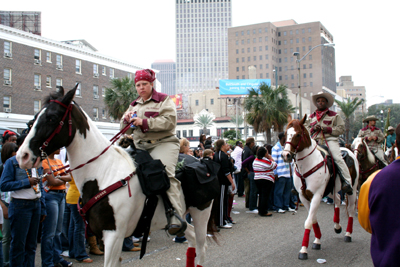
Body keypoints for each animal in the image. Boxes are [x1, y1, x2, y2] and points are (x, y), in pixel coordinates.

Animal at [18, 86, 212, 267]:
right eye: (34, 118)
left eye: (52, 117)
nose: (22, 156)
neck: (104, 173)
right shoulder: (106, 237)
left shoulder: (113, 235)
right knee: (192, 240)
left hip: (201, 213)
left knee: (201, 246)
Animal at [282, 116, 360, 260]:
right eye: (285, 134)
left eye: (298, 134)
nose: (286, 155)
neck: (307, 165)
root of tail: (349, 151)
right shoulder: (304, 196)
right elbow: (312, 219)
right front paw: (317, 241)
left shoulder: (317, 195)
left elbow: (308, 221)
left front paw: (303, 250)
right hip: (329, 190)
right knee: (337, 198)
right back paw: (337, 226)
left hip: (351, 189)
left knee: (351, 209)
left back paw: (348, 234)